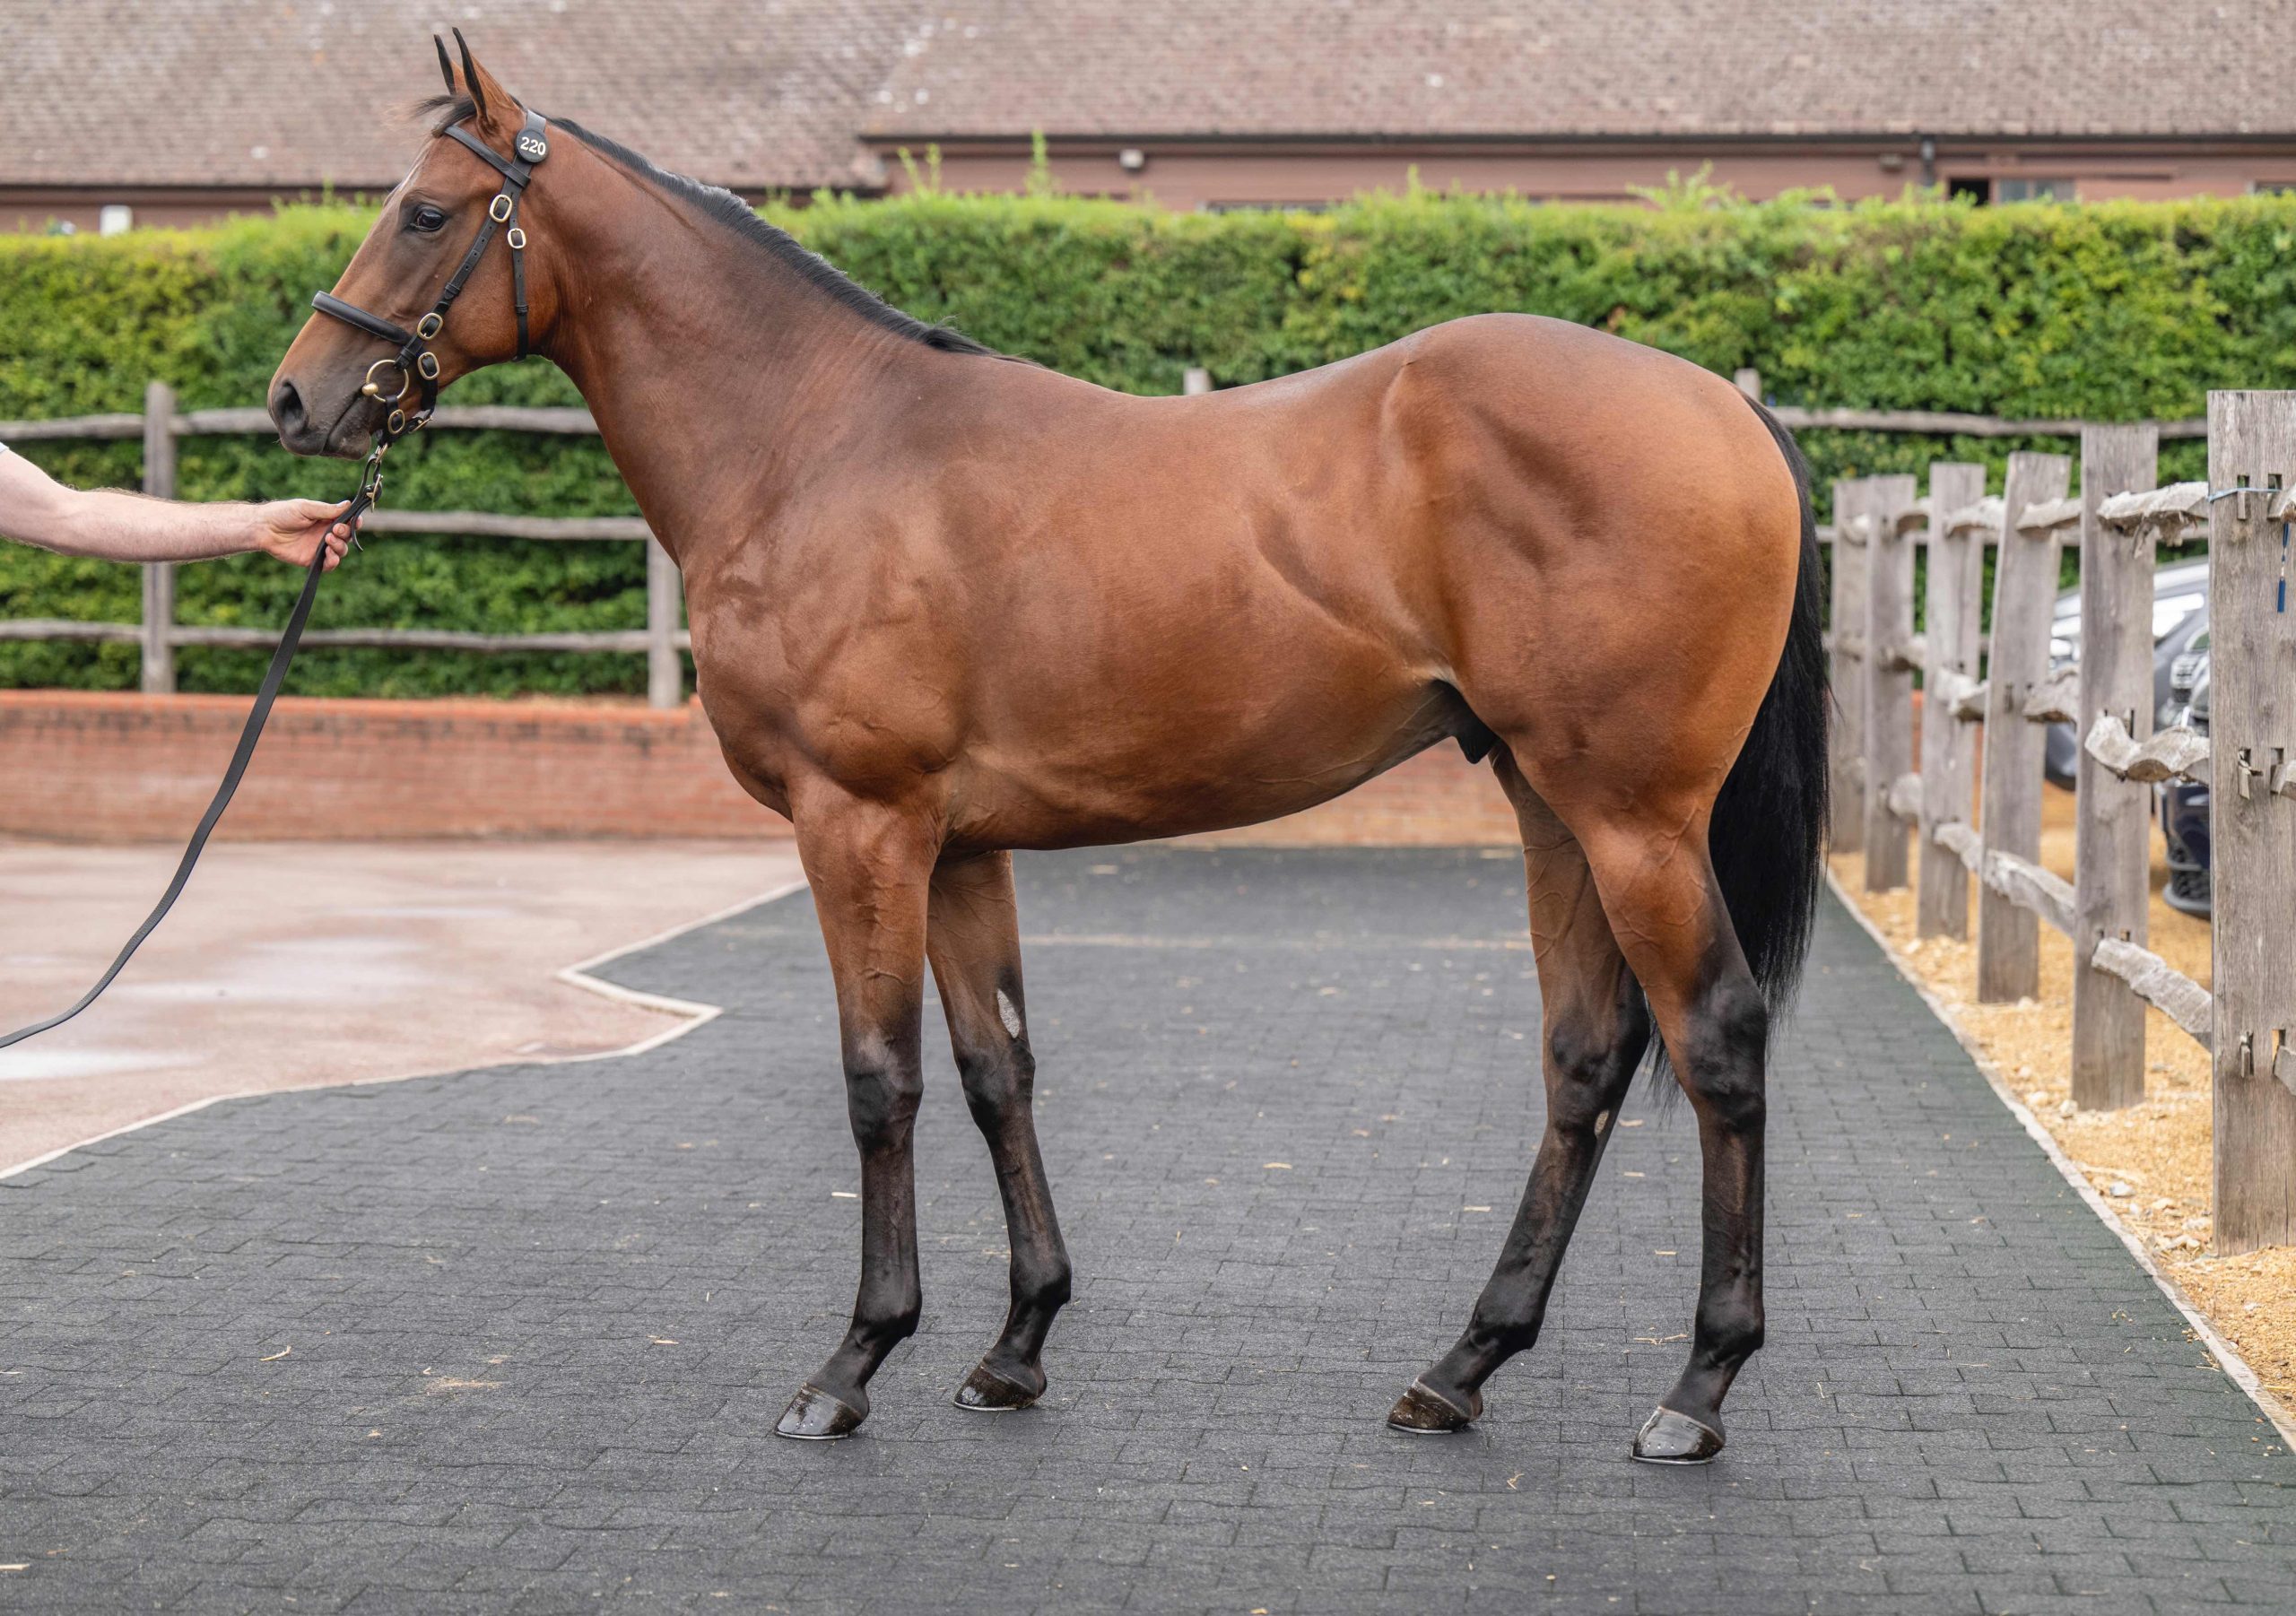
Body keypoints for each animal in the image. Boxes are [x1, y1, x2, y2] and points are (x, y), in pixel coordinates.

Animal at [268, 47, 1818, 1469]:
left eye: (422, 210)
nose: (298, 401)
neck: (813, 444)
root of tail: (1725, 406)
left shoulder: (859, 823)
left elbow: (879, 1080)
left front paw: (853, 1361)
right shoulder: (960, 845)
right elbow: (994, 1068)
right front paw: (1015, 1343)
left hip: (1634, 818)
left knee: (1719, 1037)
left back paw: (1695, 1387)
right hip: (1553, 806)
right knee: (1584, 1057)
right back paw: (1463, 1365)